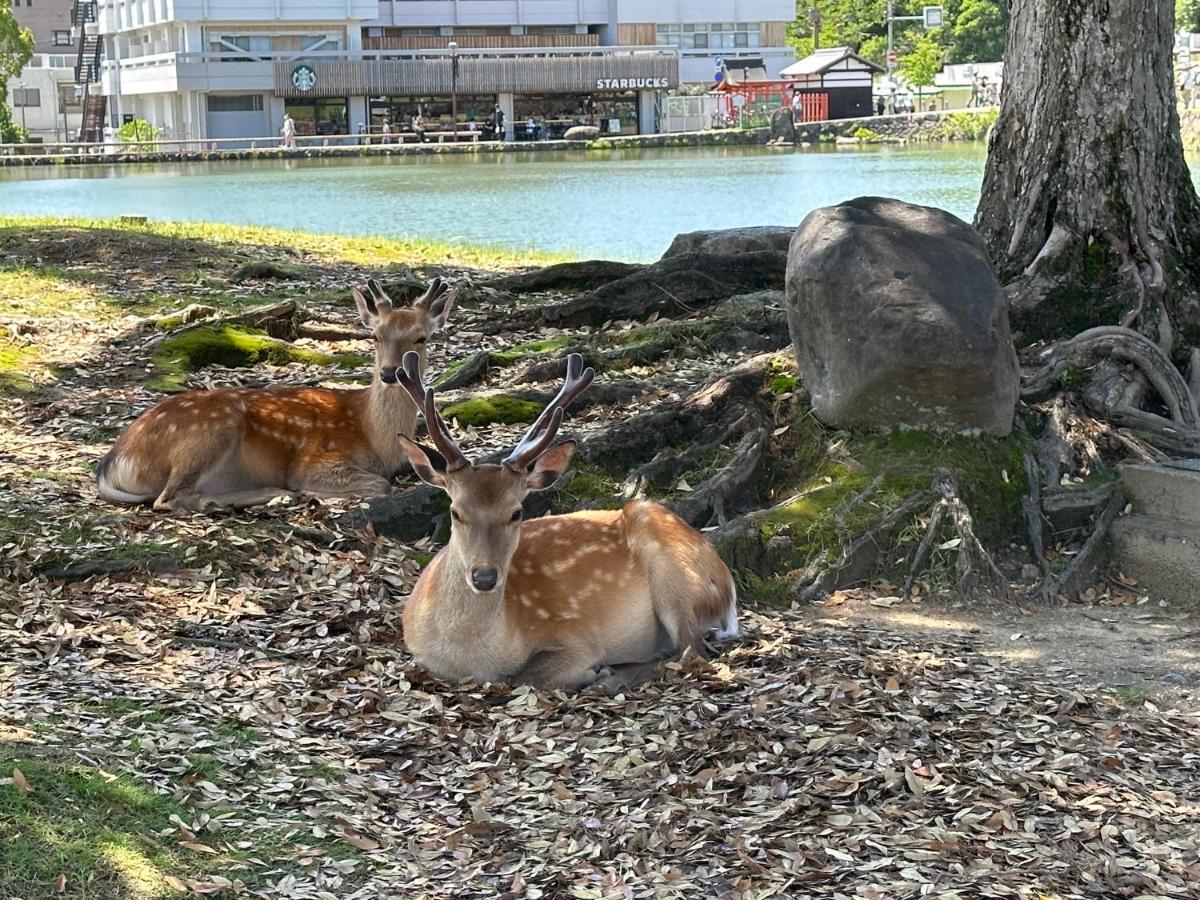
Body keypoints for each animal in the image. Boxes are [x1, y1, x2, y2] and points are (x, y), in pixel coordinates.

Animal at [94, 278, 453, 511]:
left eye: (421, 338)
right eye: (376, 336)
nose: (390, 373)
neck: (373, 435)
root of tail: (112, 462)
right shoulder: (314, 460)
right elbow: (381, 484)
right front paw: (313, 493)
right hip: (211, 428)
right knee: (167, 498)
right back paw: (264, 495)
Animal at [393, 350, 739, 691]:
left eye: (516, 512)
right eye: (456, 511)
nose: (485, 577)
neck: (470, 658)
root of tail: (727, 582)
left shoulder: (576, 635)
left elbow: (528, 676)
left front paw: (591, 672)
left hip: (674, 572)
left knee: (690, 650)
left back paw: (608, 679)